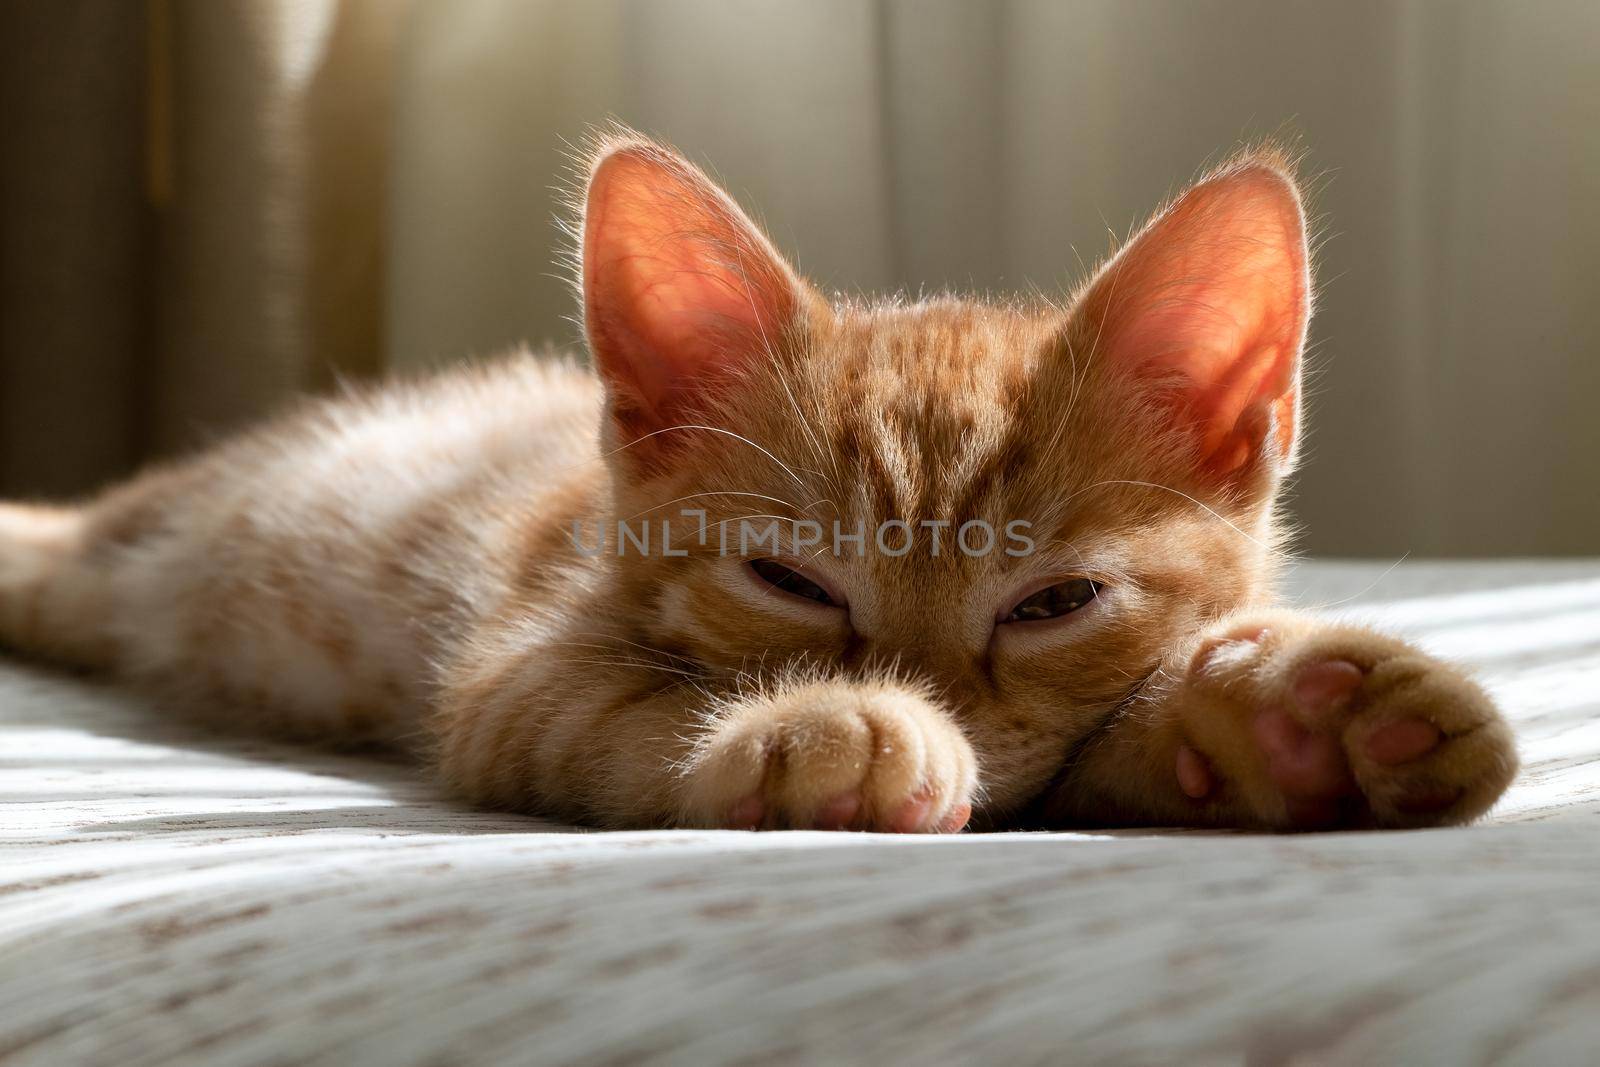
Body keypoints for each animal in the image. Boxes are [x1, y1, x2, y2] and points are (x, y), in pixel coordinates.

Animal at [3, 131, 1510, 831]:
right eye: (790, 582)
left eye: (1054, 602)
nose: (924, 694)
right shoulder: (512, 675)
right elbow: (625, 710)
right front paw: (828, 727)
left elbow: (1101, 752)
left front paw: (1293, 720)